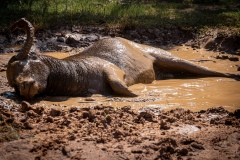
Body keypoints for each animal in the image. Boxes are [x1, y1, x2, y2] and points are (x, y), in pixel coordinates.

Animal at [6, 18, 239, 99]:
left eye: (23, 65)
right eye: (13, 83)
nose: (24, 87)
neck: (74, 72)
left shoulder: (112, 71)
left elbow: (119, 85)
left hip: (167, 56)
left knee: (207, 70)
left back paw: (233, 76)